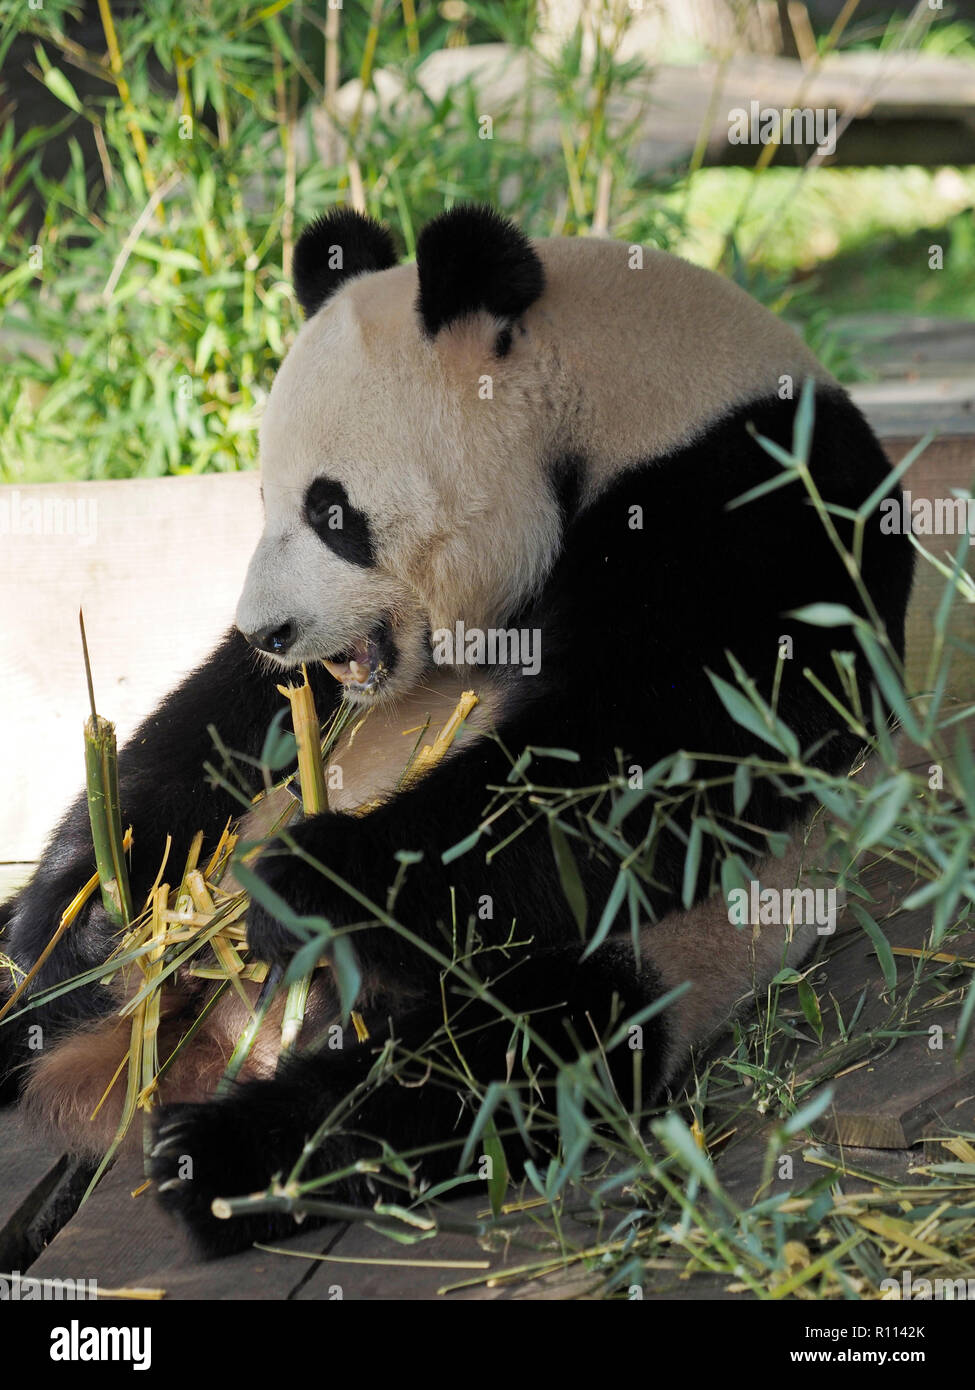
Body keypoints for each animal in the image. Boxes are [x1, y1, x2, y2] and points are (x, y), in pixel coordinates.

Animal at [0, 205, 914, 1258]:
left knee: (503, 1053)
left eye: (332, 511)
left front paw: (307, 886)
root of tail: (228, 1036)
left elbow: (666, 759)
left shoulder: (758, 506)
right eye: (264, 501)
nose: (268, 628)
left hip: (652, 952)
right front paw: (90, 907)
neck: (618, 403)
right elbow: (217, 725)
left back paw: (227, 1157)